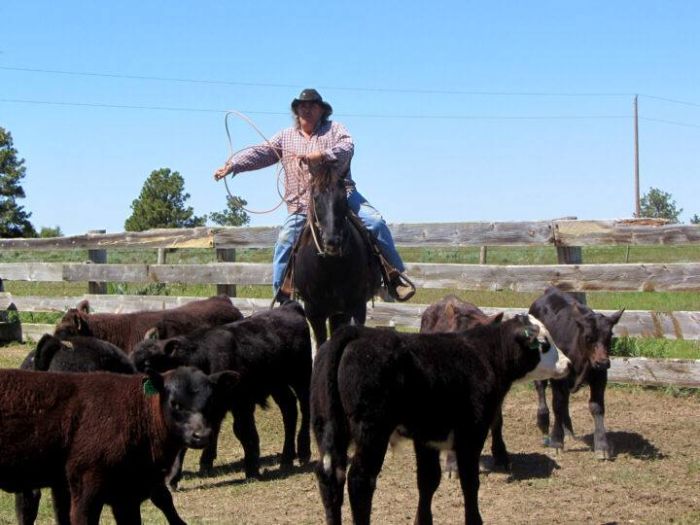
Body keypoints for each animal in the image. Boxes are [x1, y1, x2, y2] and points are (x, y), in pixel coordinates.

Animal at [294, 169, 386, 348]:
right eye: (316, 197)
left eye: (343, 197)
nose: (332, 241)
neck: (330, 267)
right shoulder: (313, 312)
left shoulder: (356, 307)